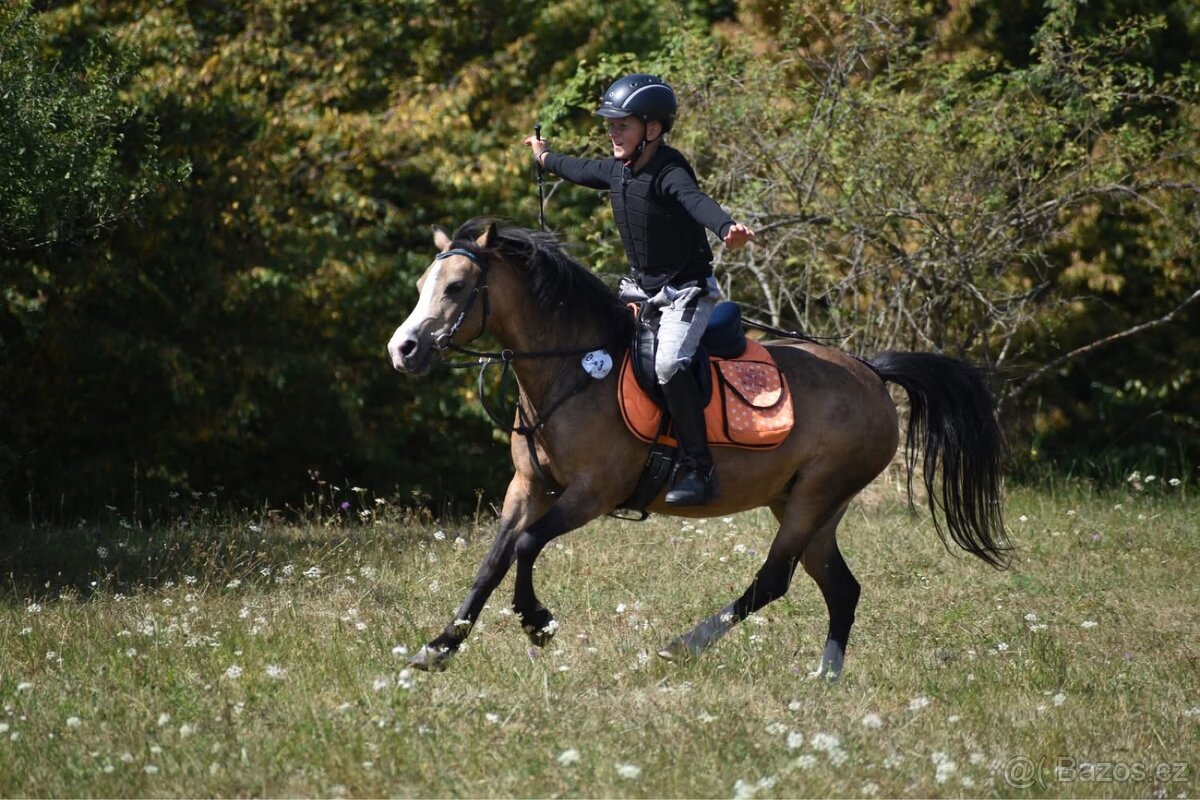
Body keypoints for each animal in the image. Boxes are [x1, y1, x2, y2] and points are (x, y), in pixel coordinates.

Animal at [387, 219, 1009, 678]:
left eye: (456, 288)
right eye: (420, 287)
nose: (403, 349)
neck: (574, 369)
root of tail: (871, 373)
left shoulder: (591, 494)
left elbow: (527, 545)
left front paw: (537, 621)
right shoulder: (529, 486)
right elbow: (492, 562)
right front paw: (439, 648)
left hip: (815, 496)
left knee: (773, 580)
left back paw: (685, 644)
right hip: (810, 507)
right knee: (841, 589)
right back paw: (824, 678)